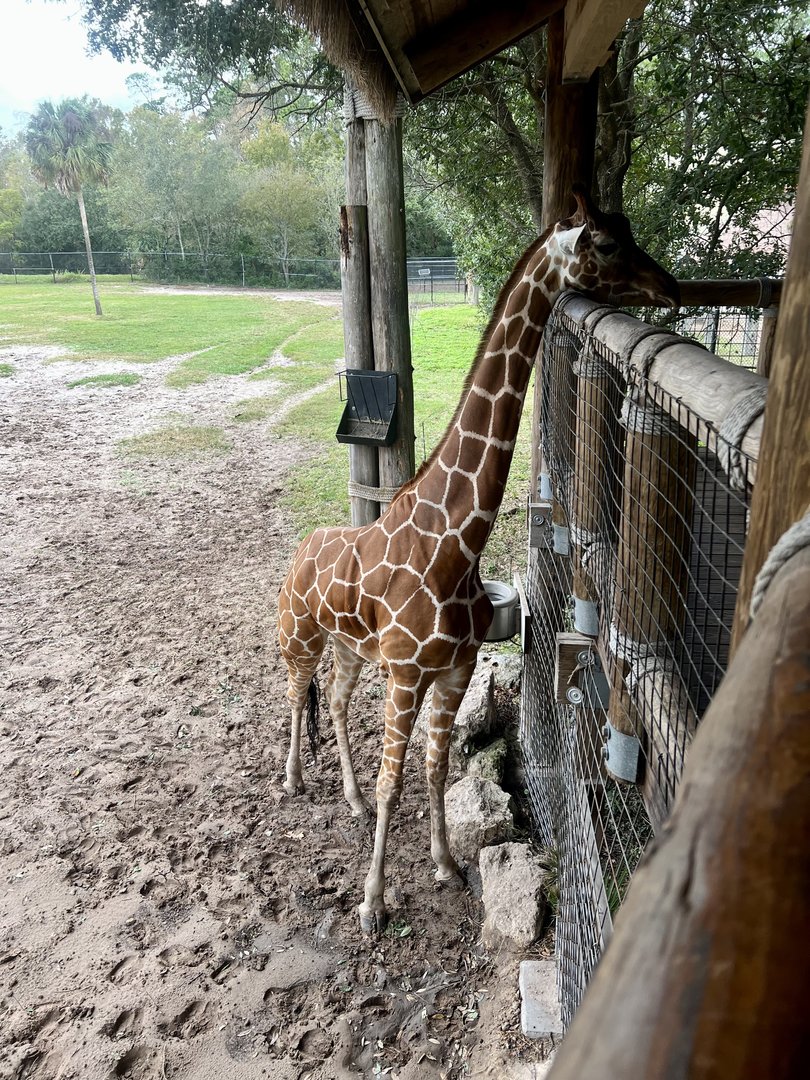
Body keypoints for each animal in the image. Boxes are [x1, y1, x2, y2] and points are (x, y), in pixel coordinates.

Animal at [278, 186, 679, 933]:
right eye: (608, 244)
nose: (668, 286)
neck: (455, 543)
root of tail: (302, 549)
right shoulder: (407, 674)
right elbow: (395, 781)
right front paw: (372, 904)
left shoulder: (453, 670)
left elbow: (434, 769)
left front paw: (445, 865)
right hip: (299, 635)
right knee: (295, 695)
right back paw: (291, 780)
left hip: (347, 646)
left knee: (336, 701)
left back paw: (345, 796)